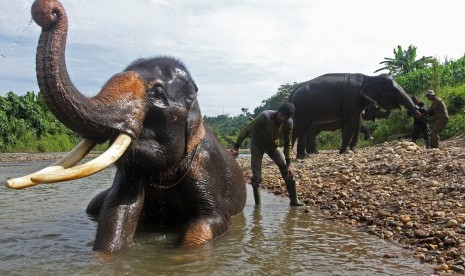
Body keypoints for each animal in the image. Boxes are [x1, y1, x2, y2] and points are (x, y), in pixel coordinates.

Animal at [6, 0, 246, 253]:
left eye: (156, 92)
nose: (48, 11)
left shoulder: (205, 164)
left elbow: (210, 221)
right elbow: (118, 208)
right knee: (94, 205)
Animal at [288, 73, 418, 157]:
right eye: (392, 92)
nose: (417, 109)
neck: (369, 78)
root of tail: (293, 92)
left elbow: (358, 122)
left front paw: (354, 151)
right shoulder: (352, 98)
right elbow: (351, 122)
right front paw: (347, 151)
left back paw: (308, 153)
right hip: (302, 109)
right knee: (303, 129)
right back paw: (305, 156)